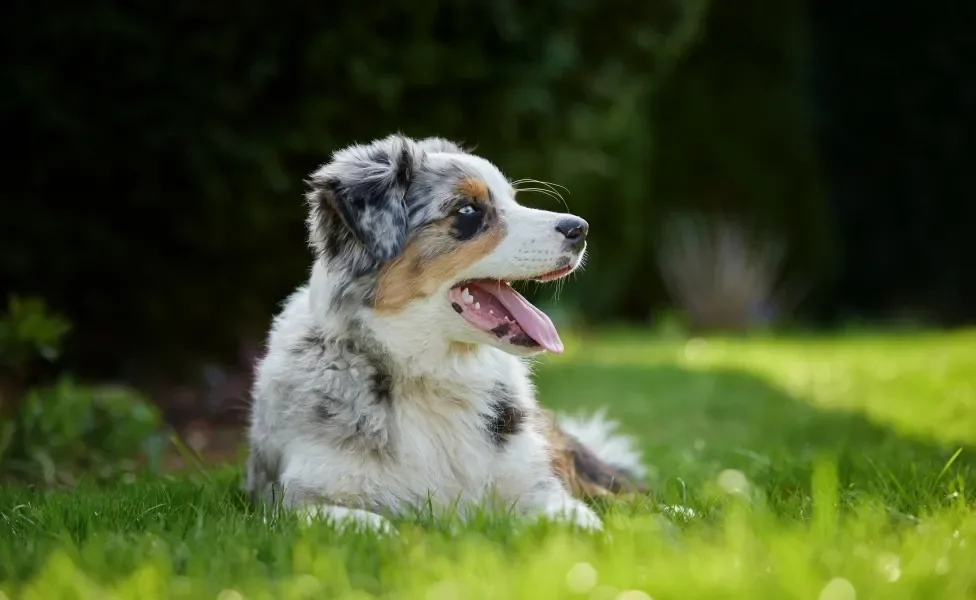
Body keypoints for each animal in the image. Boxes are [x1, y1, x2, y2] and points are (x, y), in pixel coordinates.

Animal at [244, 134, 648, 532]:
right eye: (468, 211)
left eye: (513, 199)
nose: (580, 229)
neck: (434, 374)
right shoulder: (293, 499)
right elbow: (374, 526)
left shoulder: (535, 485)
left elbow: (584, 523)